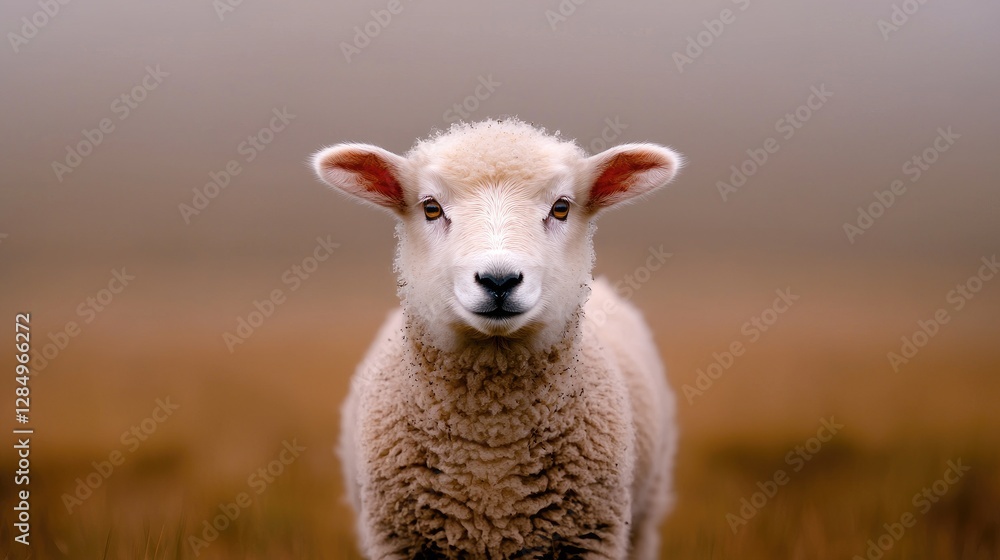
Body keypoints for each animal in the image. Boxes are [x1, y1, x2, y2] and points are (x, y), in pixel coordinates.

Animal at [312, 118, 681, 560]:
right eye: (430, 207)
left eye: (561, 207)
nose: (499, 280)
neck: (491, 440)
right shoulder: (398, 541)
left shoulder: (591, 538)